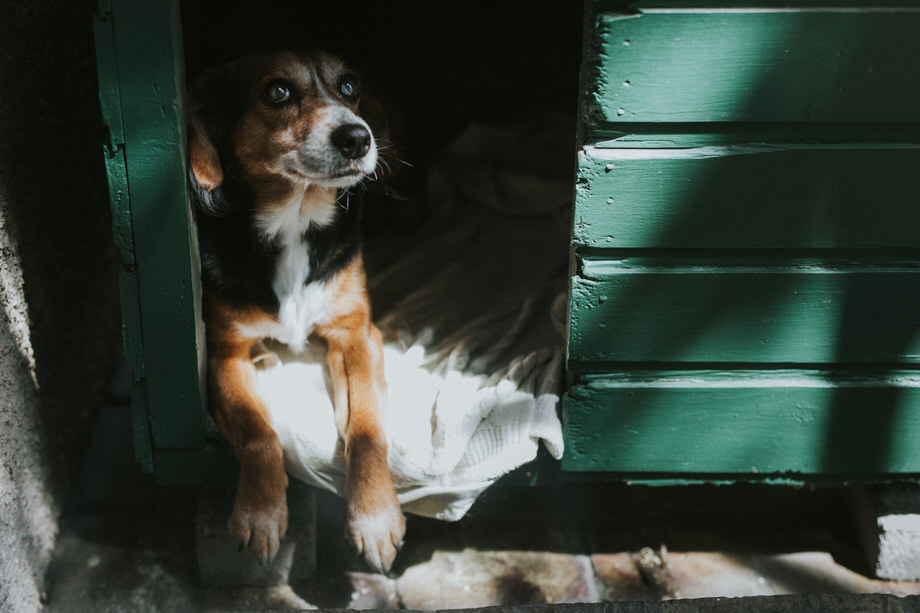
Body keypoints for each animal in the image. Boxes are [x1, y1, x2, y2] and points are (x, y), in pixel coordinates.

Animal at [185, 50, 404, 572]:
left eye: (350, 86)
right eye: (278, 91)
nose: (358, 137)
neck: (295, 221)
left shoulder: (357, 334)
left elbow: (368, 429)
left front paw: (375, 515)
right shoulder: (226, 353)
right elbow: (258, 433)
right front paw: (261, 512)